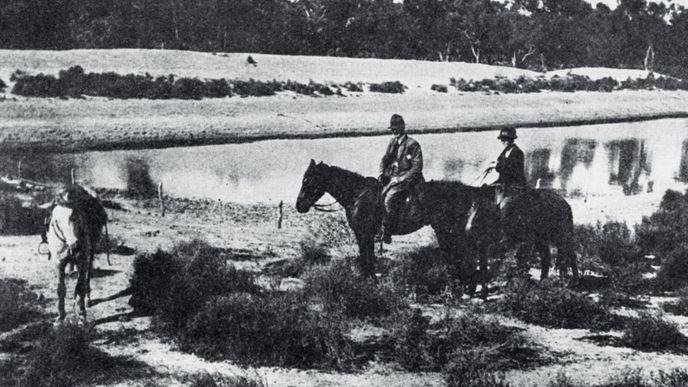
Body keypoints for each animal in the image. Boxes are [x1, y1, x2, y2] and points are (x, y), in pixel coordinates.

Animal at [298, 161, 486, 282]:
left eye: (308, 181)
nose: (299, 205)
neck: (357, 195)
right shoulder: (365, 234)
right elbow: (368, 256)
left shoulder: (363, 233)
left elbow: (366, 256)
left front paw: (367, 279)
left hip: (447, 230)